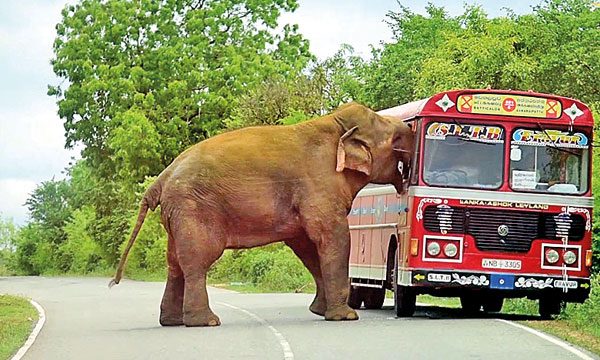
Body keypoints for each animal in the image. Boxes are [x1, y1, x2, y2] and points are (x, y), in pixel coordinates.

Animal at [110, 102, 412, 328]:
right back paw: (206, 322)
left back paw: (173, 321)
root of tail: (162, 178)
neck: (334, 123)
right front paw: (345, 317)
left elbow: (306, 245)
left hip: (177, 213)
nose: (412, 129)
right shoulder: (318, 186)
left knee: (174, 265)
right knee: (197, 261)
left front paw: (319, 311)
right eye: (395, 140)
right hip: (194, 209)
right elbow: (332, 237)